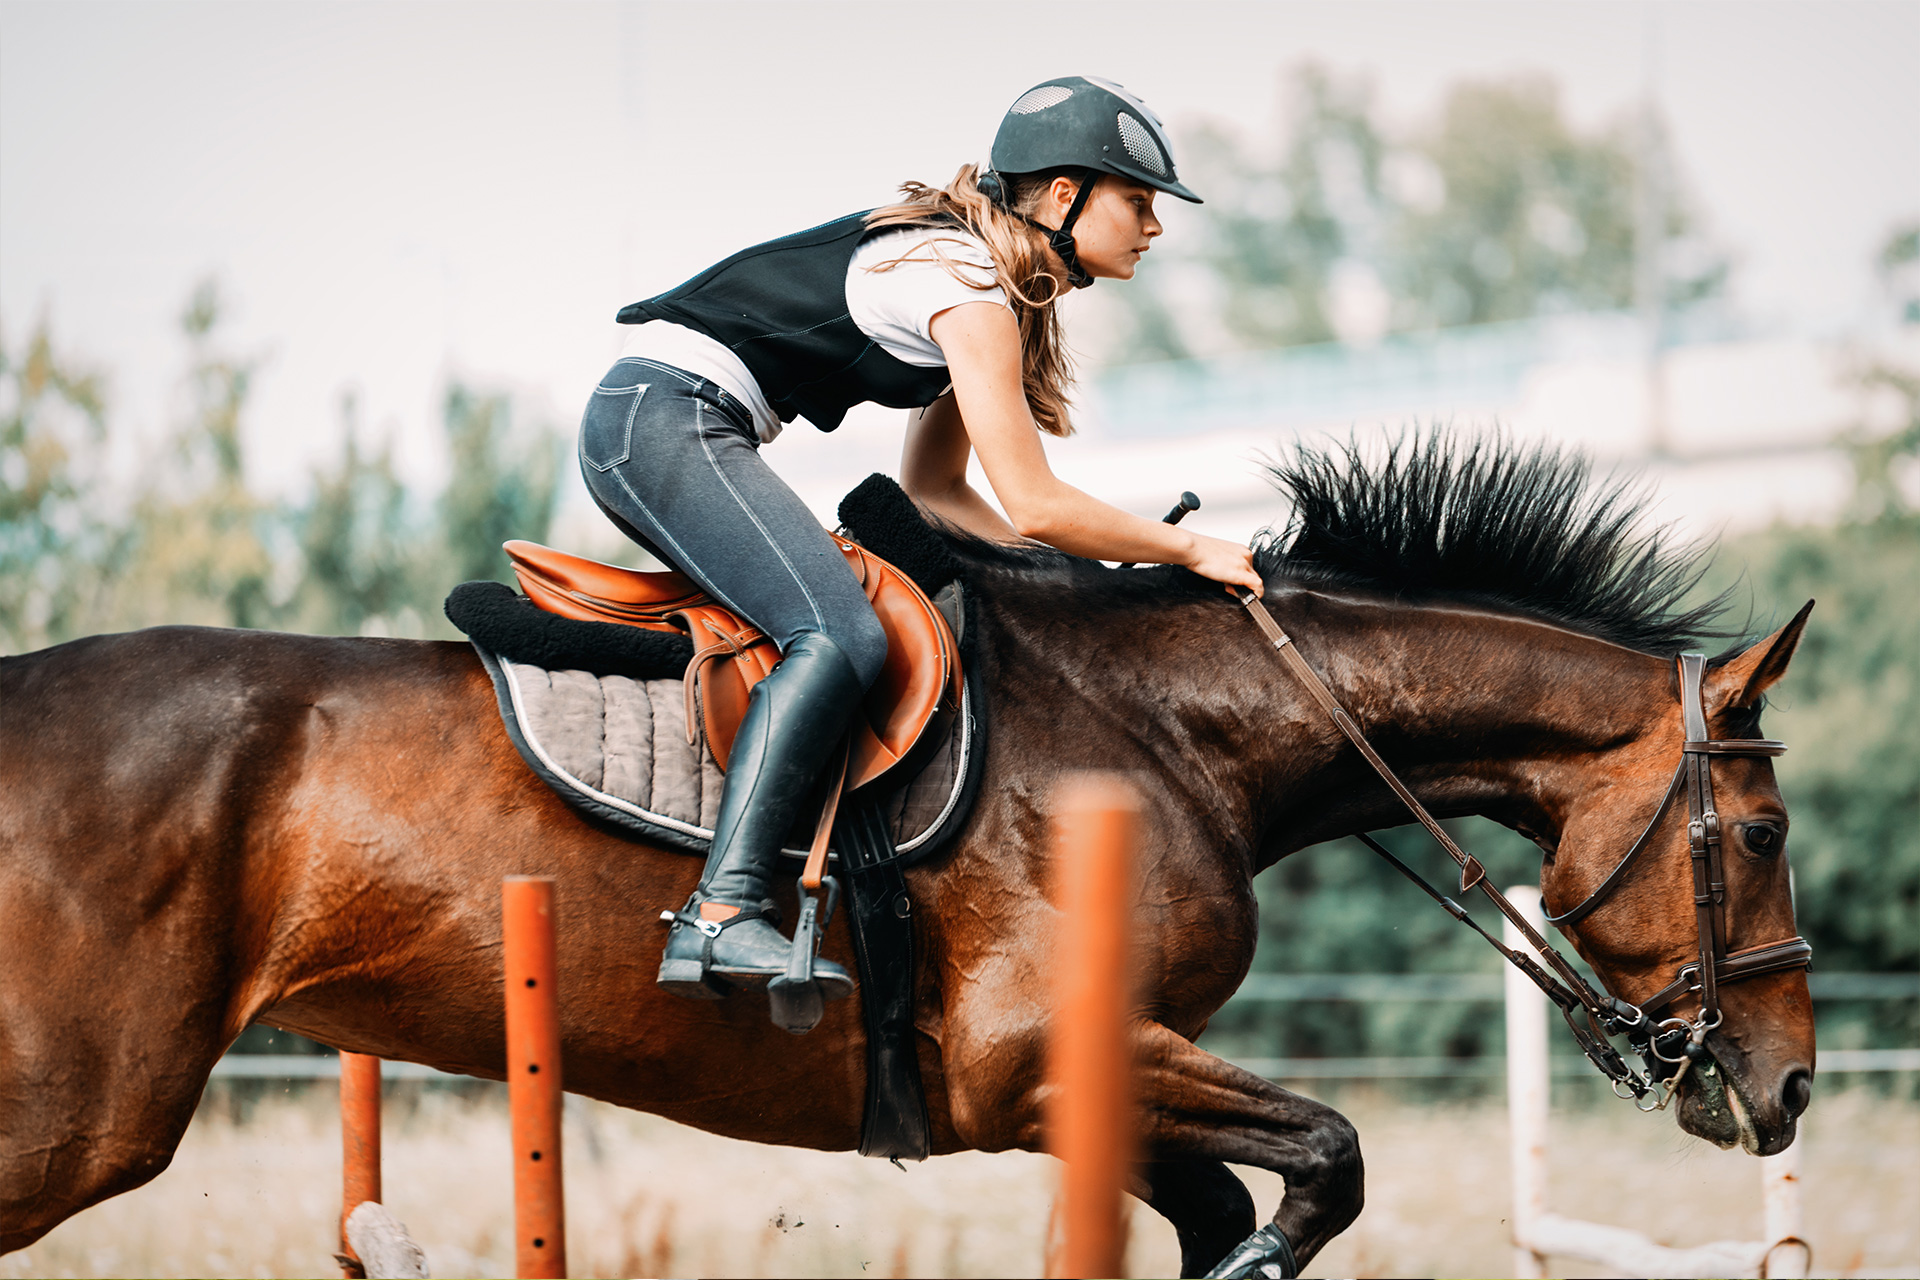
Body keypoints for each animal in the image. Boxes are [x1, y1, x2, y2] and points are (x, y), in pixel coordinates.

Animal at [3, 437, 1812, 1274]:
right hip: (82, 1114)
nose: (1784, 1088)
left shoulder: (1069, 1084)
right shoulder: (1033, 1056)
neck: (1176, 721)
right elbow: (1327, 1162)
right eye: (1766, 832)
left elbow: (1240, 1193)